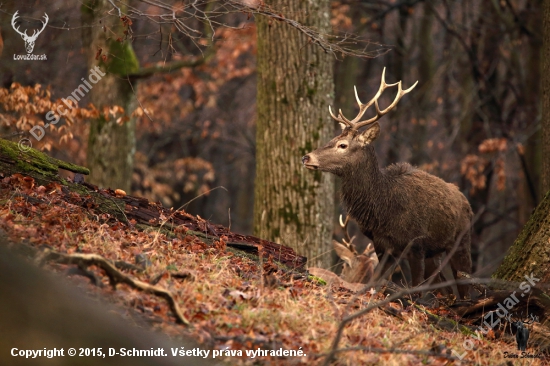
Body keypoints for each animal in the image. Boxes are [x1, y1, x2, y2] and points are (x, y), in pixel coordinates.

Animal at [302, 68, 474, 298]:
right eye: (332, 139)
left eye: (342, 145)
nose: (306, 157)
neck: (384, 209)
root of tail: (466, 201)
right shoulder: (382, 244)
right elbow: (374, 283)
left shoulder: (416, 245)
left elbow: (416, 289)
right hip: (435, 253)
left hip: (461, 241)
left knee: (465, 285)